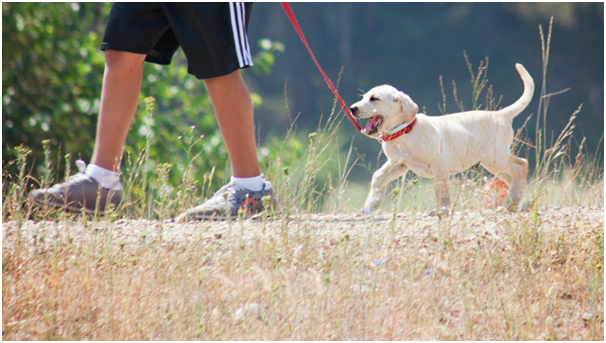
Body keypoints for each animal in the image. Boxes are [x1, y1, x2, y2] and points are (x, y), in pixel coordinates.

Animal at [352, 63, 536, 214]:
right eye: (363, 97)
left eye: (374, 98)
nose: (352, 108)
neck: (403, 132)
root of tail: (501, 114)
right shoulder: (399, 164)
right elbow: (378, 177)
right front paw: (370, 204)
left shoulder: (439, 163)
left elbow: (440, 189)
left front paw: (443, 209)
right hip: (493, 163)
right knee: (512, 176)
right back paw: (513, 202)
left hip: (496, 157)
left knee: (522, 164)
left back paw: (511, 202)